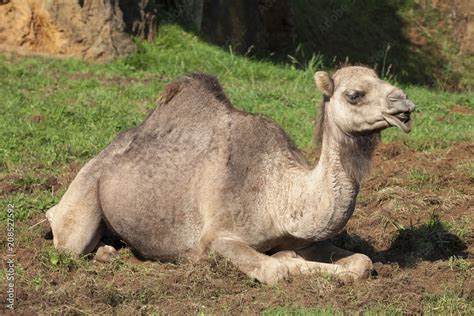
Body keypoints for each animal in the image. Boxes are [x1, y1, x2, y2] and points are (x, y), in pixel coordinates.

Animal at [44, 66, 414, 284]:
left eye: (384, 80)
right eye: (354, 94)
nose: (405, 106)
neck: (280, 196)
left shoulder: (307, 239)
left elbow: (362, 262)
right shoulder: (218, 238)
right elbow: (276, 269)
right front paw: (284, 261)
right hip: (84, 195)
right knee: (70, 244)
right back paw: (107, 252)